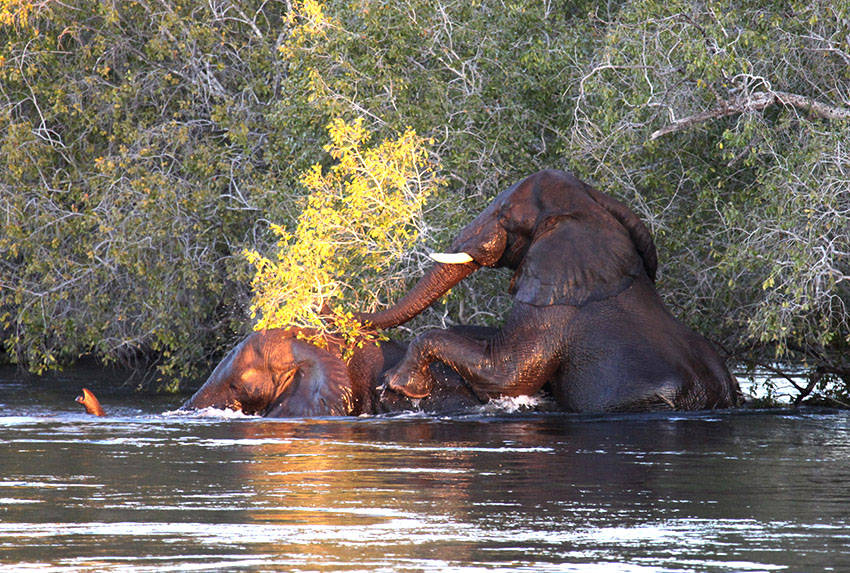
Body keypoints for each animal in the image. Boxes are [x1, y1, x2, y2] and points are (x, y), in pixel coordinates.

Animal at [354, 168, 740, 408]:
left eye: (504, 214)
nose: (349, 314)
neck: (589, 210)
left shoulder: (557, 307)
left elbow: (507, 373)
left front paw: (396, 383)